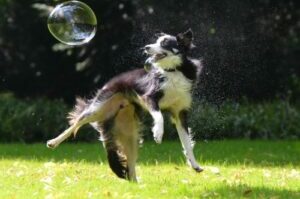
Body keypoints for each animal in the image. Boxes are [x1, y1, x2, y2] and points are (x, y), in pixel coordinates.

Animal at [47, 28, 204, 182]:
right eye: (156, 41)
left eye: (164, 43)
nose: (146, 47)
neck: (174, 70)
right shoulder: (149, 97)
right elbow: (159, 116)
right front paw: (158, 134)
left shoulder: (180, 113)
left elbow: (187, 143)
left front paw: (195, 165)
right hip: (98, 108)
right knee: (76, 123)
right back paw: (53, 142)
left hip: (130, 134)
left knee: (131, 166)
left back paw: (136, 185)